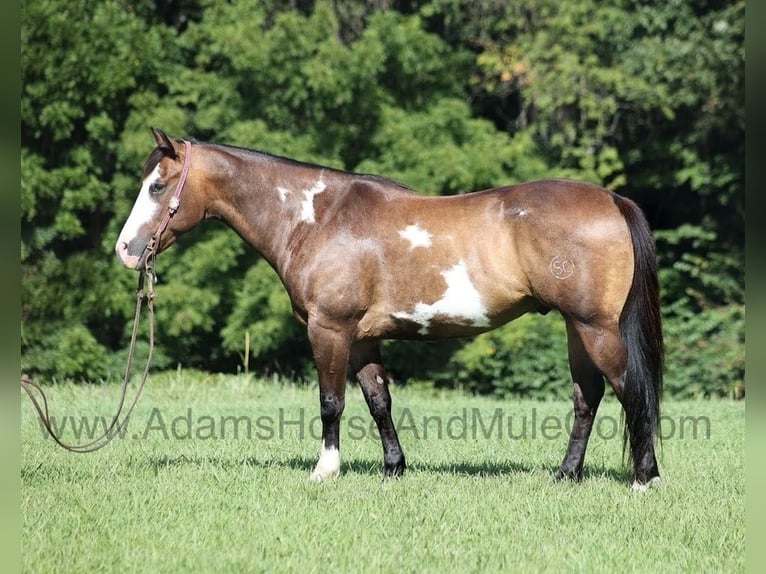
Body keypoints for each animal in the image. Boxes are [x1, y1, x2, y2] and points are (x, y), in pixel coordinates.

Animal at [115, 128, 663, 490]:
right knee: (587, 398)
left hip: (596, 328)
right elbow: (379, 401)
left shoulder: (329, 330)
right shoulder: (362, 338)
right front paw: (394, 468)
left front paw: (325, 470)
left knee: (629, 391)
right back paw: (566, 475)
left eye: (157, 186)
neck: (318, 219)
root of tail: (611, 200)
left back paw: (644, 478)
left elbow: (331, 402)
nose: (125, 250)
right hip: (576, 329)